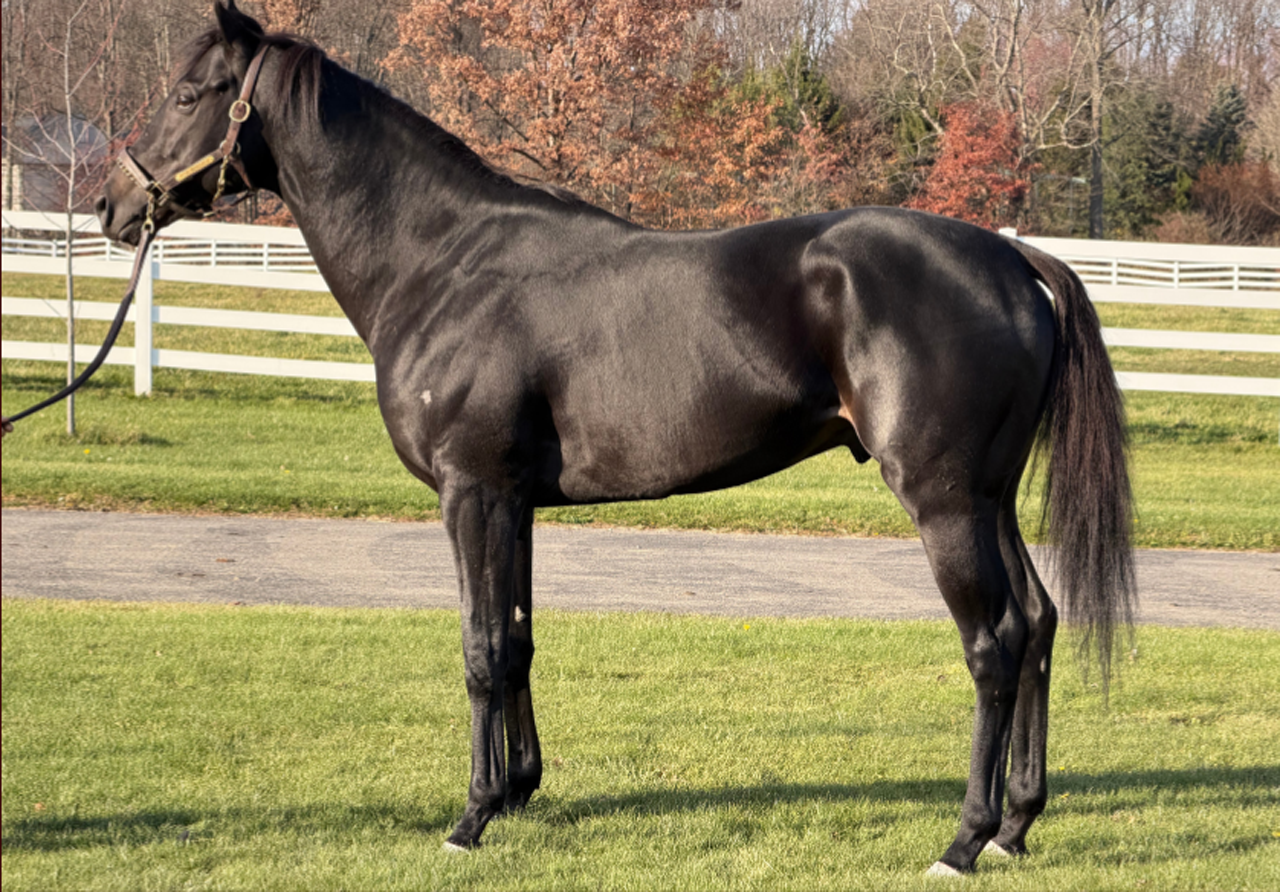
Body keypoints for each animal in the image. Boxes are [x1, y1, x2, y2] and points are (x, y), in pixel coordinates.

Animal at [96, 1, 1134, 875]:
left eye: (189, 94)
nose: (112, 205)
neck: (443, 261)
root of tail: (1010, 257)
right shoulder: (512, 500)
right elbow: (517, 638)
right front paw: (518, 793)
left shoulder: (471, 492)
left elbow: (480, 647)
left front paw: (471, 818)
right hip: (990, 499)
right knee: (1039, 623)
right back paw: (1014, 827)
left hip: (944, 502)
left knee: (995, 643)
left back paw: (962, 841)